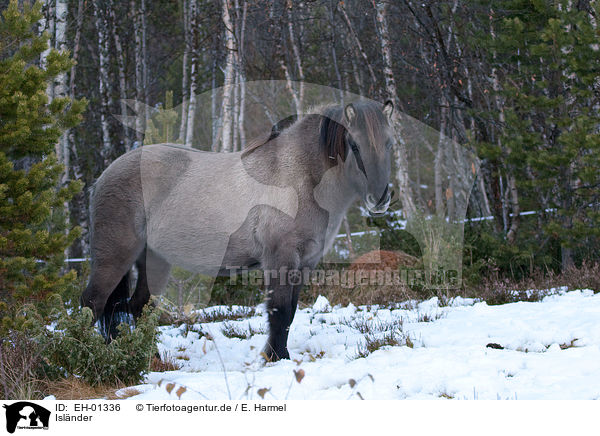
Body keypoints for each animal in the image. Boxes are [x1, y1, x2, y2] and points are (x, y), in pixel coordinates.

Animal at [82, 99, 396, 362]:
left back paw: (149, 358)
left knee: (137, 307)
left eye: (390, 143)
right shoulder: (280, 259)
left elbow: (290, 314)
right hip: (115, 256)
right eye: (354, 145)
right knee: (94, 303)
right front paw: (277, 358)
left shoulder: (305, 262)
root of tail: (105, 175)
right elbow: (280, 313)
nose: (380, 199)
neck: (299, 176)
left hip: (153, 260)